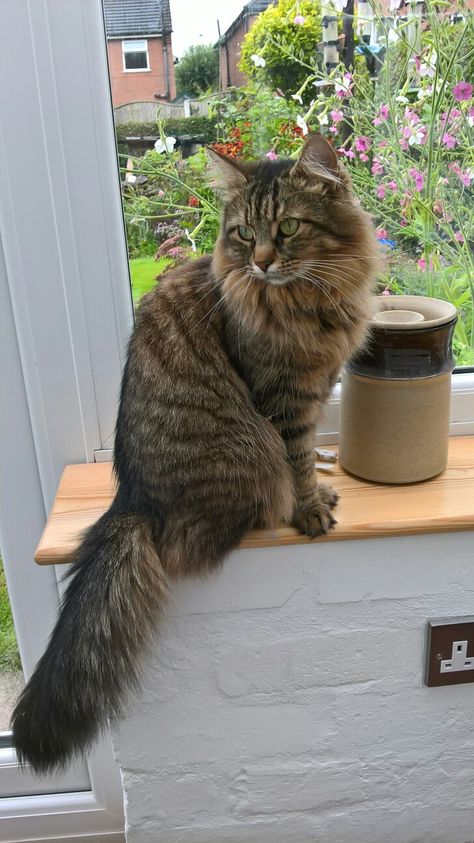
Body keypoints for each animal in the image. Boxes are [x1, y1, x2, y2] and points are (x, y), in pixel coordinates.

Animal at [11, 135, 380, 776]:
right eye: (243, 234)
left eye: (287, 228)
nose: (260, 262)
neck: (309, 296)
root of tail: (131, 501)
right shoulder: (281, 398)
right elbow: (298, 457)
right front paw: (310, 507)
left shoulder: (317, 386)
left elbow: (312, 449)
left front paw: (325, 477)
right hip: (249, 449)